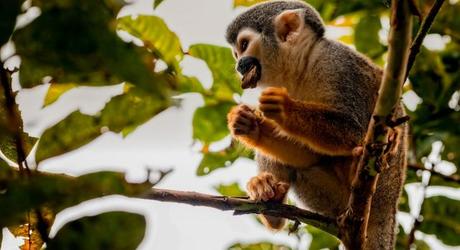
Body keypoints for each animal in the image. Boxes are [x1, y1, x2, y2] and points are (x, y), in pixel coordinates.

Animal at [226, 0, 406, 249]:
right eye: (236, 53)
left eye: (244, 45)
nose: (238, 65)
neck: (303, 68)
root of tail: (389, 209)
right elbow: (306, 155)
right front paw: (251, 127)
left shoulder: (338, 65)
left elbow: (352, 129)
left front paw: (284, 108)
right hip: (332, 202)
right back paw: (271, 204)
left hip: (384, 187)